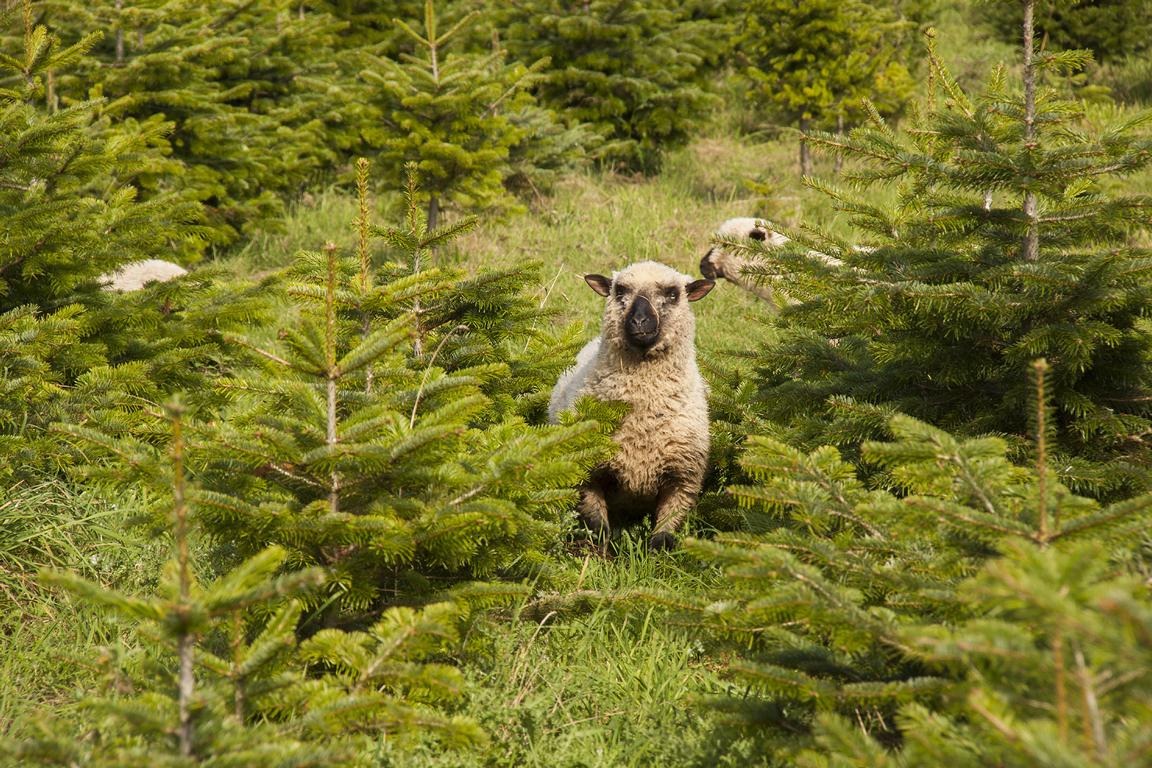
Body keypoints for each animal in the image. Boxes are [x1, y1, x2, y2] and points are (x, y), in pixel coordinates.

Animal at [546, 261, 709, 550]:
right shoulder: (588, 471)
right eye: (619, 290)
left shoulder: (683, 477)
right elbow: (598, 526)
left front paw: (656, 555)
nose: (640, 321)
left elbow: (665, 532)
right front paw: (599, 555)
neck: (642, 422)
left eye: (673, 294)